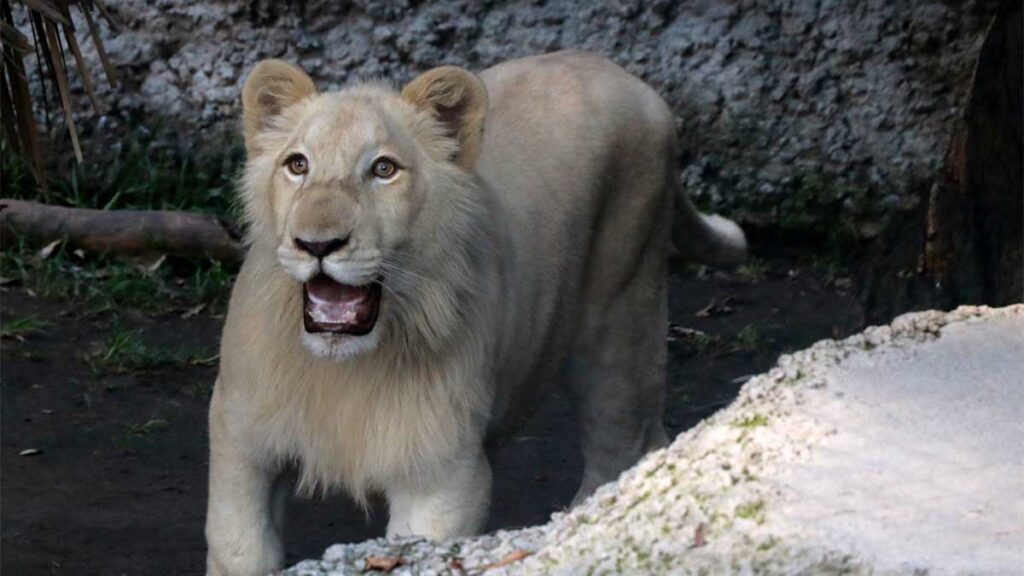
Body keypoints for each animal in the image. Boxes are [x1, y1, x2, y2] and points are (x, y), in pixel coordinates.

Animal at [205, 50, 746, 575]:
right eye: (297, 164)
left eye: (383, 169)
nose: (317, 244)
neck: (343, 369)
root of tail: (620, 73)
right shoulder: (239, 436)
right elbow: (238, 546)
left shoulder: (443, 473)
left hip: (621, 315)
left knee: (626, 442)